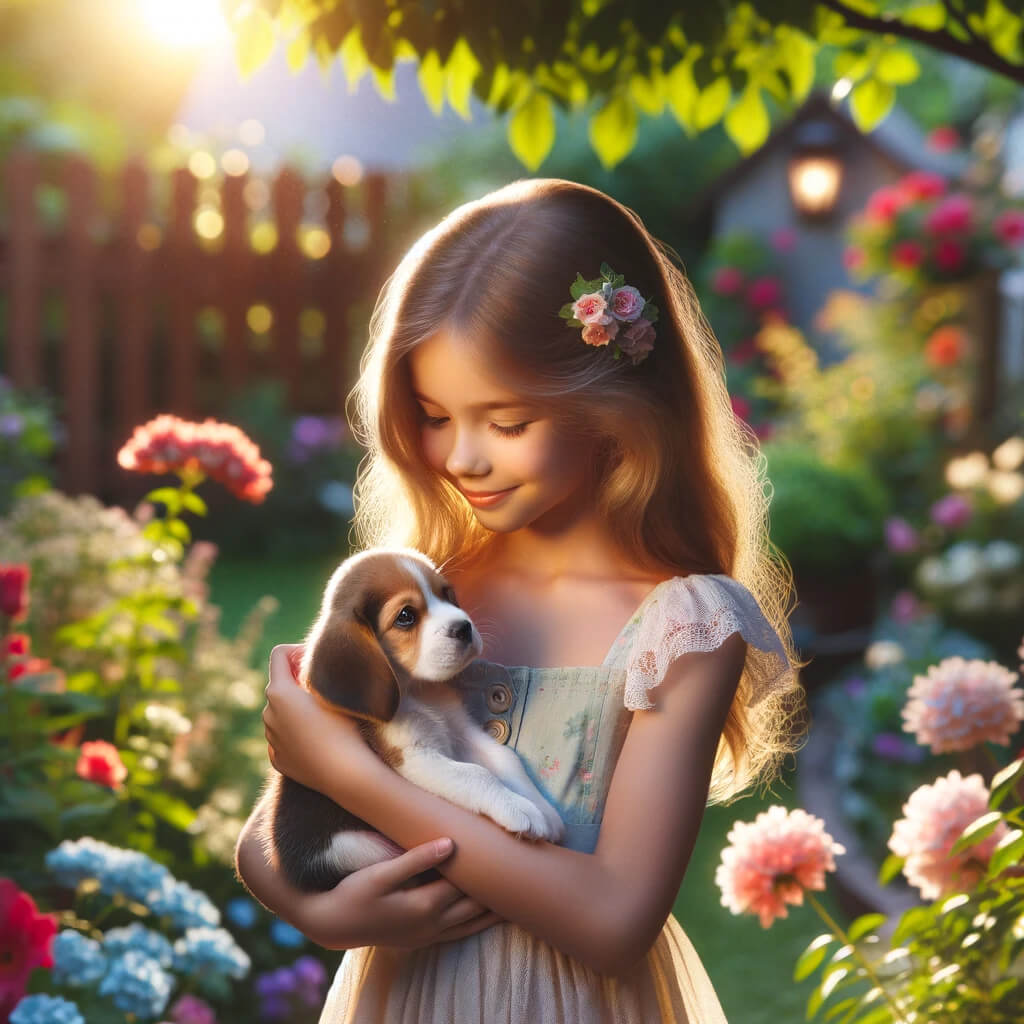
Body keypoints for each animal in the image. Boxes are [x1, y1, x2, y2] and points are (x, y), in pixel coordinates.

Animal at [253, 548, 561, 892]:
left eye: (447, 594)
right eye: (405, 616)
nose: (464, 627)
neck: (418, 690)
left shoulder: (462, 731)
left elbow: (505, 759)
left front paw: (542, 808)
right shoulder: (412, 757)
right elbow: (476, 774)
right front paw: (518, 808)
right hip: (358, 848)